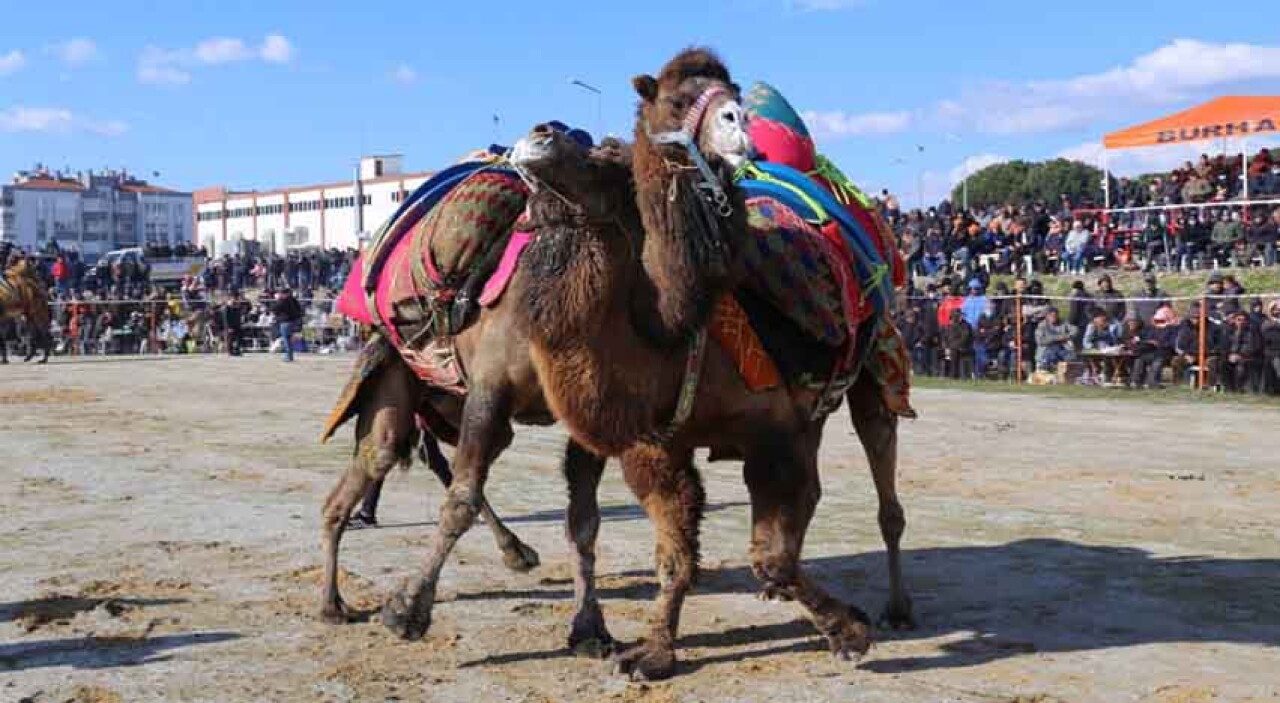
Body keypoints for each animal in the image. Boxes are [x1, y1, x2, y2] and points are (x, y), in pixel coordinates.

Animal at [373, 48, 916, 681]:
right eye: (677, 101)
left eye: (607, 163)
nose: (541, 132)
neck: (670, 331)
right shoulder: (655, 444)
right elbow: (675, 554)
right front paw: (652, 651)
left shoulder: (770, 430)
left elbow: (770, 555)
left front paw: (850, 632)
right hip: (812, 411)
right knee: (811, 493)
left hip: (877, 366)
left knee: (882, 478)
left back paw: (897, 608)